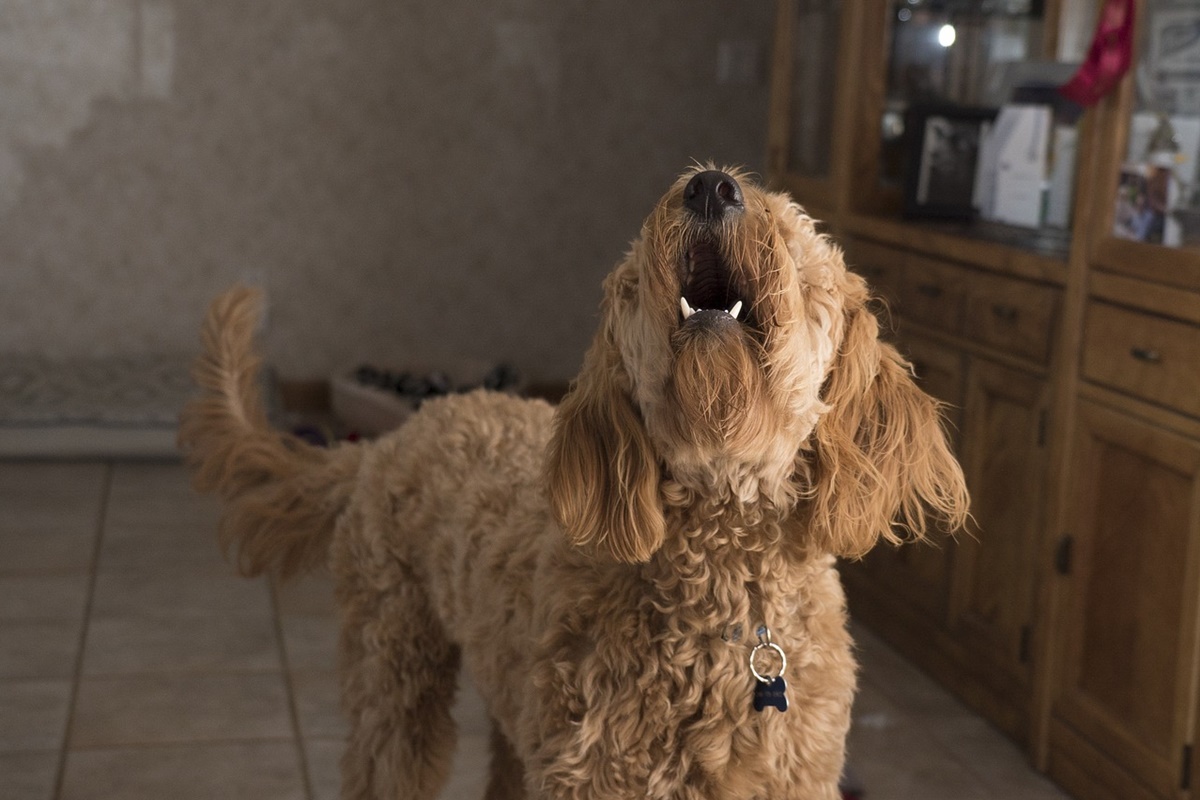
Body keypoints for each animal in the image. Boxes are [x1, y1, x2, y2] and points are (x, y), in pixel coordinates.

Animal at [177, 165, 964, 796]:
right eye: (635, 278)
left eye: (797, 240)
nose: (711, 185)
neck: (721, 588)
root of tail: (393, 438)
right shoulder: (591, 772)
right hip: (394, 669)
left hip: (510, 703)